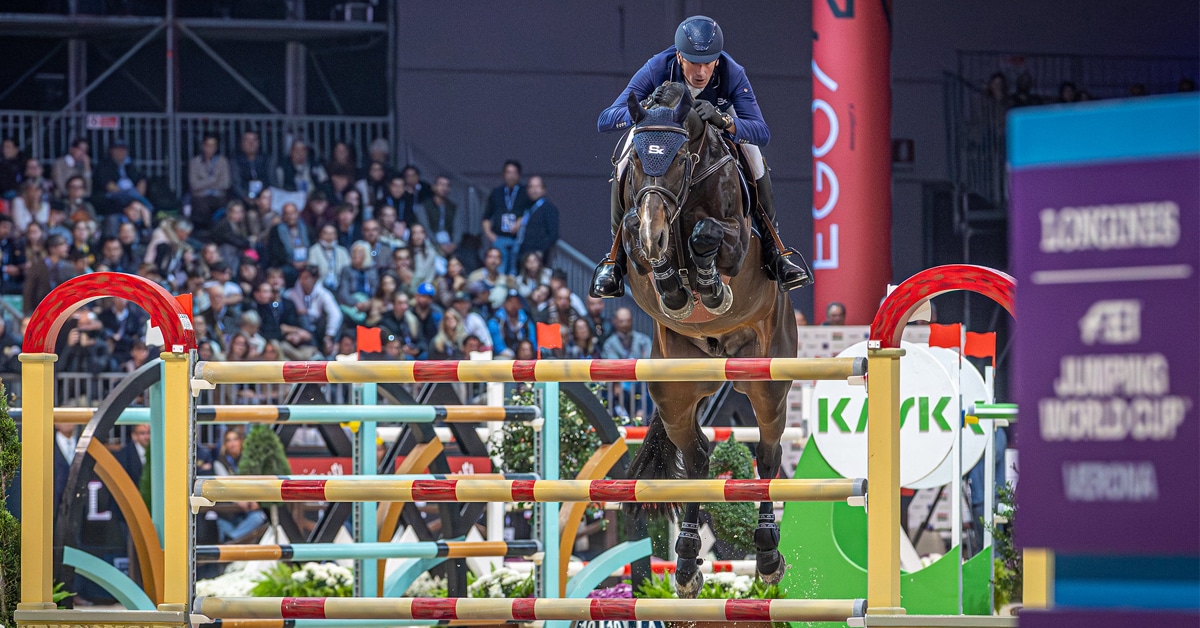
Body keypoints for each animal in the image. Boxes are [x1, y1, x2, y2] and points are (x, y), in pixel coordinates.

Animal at [617, 82, 799, 598]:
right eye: (636, 162)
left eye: (680, 158)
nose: (657, 233)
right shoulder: (635, 239)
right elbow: (638, 241)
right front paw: (675, 286)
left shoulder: (736, 241)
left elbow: (708, 234)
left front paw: (710, 287)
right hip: (675, 392)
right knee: (698, 455)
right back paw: (685, 563)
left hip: (767, 384)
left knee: (767, 455)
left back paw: (767, 557)